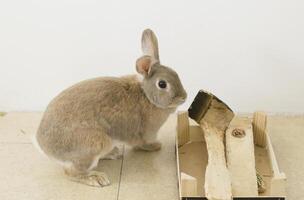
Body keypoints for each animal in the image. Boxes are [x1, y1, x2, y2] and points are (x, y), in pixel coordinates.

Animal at [34, 28, 188, 188]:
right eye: (162, 84)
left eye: (175, 74)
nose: (184, 97)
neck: (146, 94)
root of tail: (43, 146)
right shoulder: (145, 133)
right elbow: (141, 144)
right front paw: (156, 146)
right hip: (95, 144)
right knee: (72, 172)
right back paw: (96, 178)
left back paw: (114, 153)